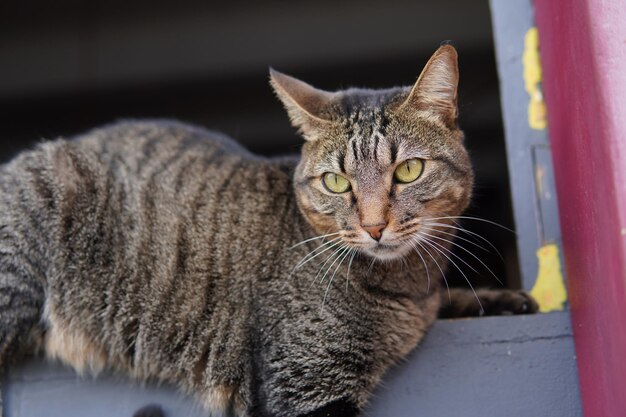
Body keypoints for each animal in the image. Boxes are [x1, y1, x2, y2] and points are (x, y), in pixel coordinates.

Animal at [1, 44, 536, 414]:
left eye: (408, 171)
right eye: (337, 181)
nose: (374, 226)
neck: (407, 286)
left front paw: (502, 299)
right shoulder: (307, 384)